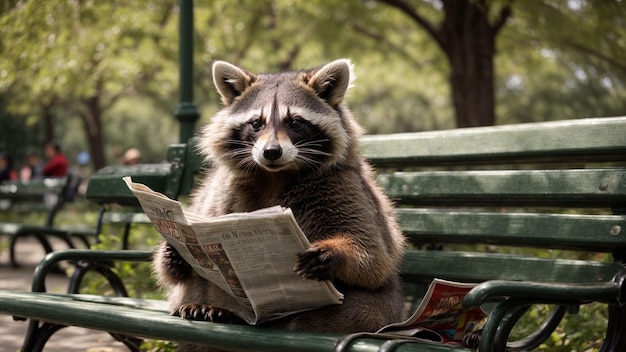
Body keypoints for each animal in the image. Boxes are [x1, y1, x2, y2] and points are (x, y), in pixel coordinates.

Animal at [154, 59, 408, 350]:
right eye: (256, 123)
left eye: (295, 122)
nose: (271, 152)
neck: (274, 175)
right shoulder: (220, 191)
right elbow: (176, 269)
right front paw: (175, 248)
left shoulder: (346, 185)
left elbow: (374, 255)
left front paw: (335, 253)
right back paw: (213, 309)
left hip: (381, 308)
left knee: (357, 309)